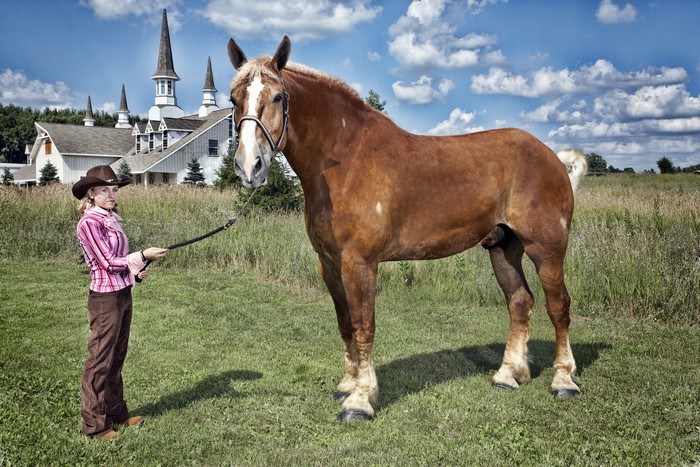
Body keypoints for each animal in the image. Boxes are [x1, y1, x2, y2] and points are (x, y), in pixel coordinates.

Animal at [227, 36, 588, 422]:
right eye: (234, 98)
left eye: (278, 96)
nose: (249, 167)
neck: (346, 160)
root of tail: (552, 156)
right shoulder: (329, 263)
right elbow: (344, 323)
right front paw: (347, 385)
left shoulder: (360, 263)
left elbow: (363, 324)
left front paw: (360, 400)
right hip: (503, 247)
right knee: (520, 301)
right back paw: (508, 375)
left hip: (546, 248)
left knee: (558, 305)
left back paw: (564, 380)